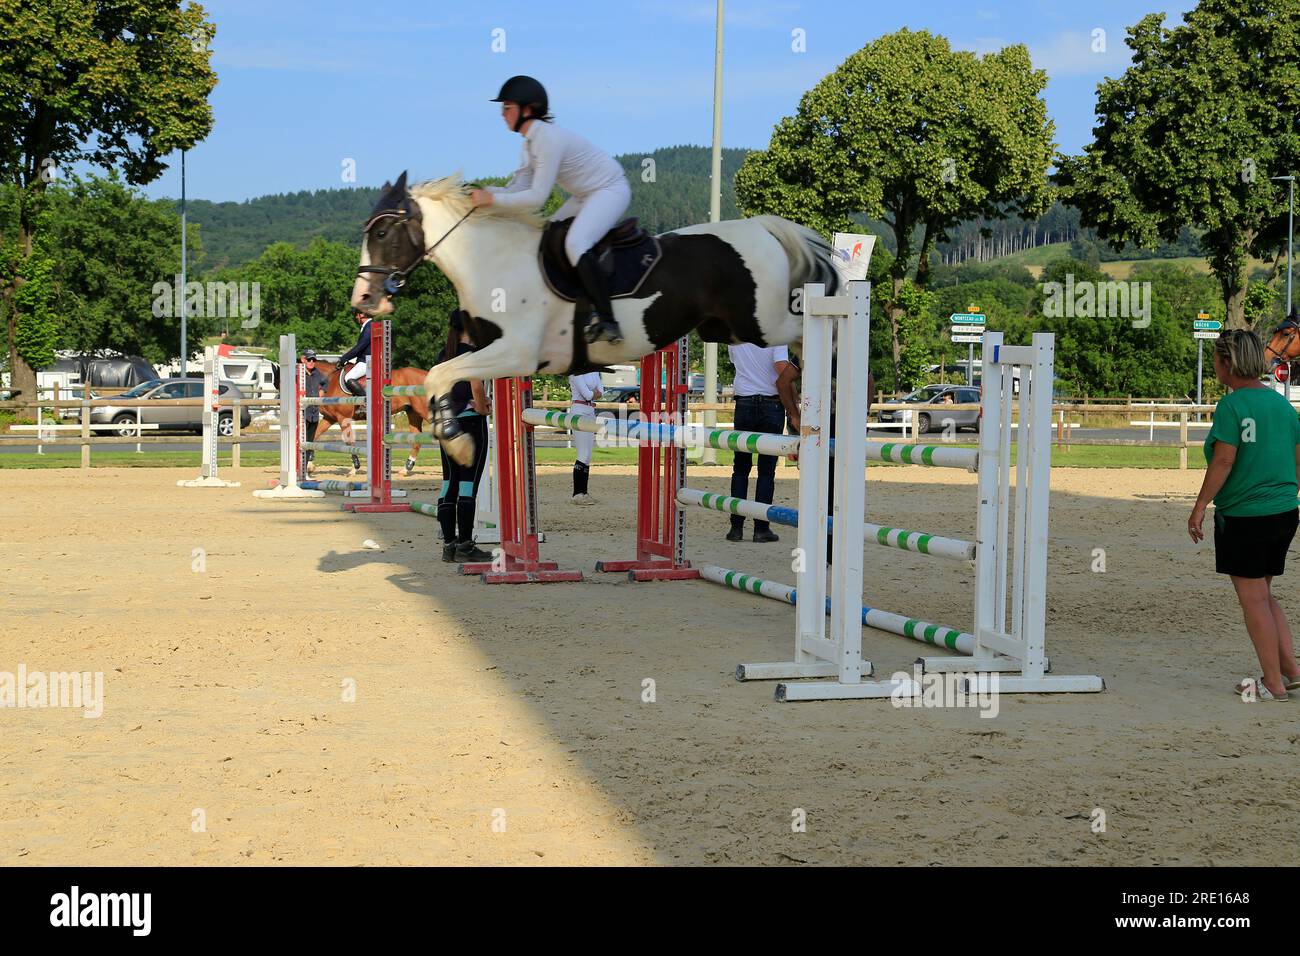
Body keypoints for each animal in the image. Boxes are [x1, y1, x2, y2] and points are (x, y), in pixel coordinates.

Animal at [351, 176, 837, 470]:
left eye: (381, 233)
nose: (364, 299)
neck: (491, 258)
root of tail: (763, 227)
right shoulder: (493, 349)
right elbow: (447, 371)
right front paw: (461, 433)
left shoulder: (514, 352)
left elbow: (440, 373)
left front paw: (457, 441)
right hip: (725, 329)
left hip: (763, 322)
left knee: (808, 333)